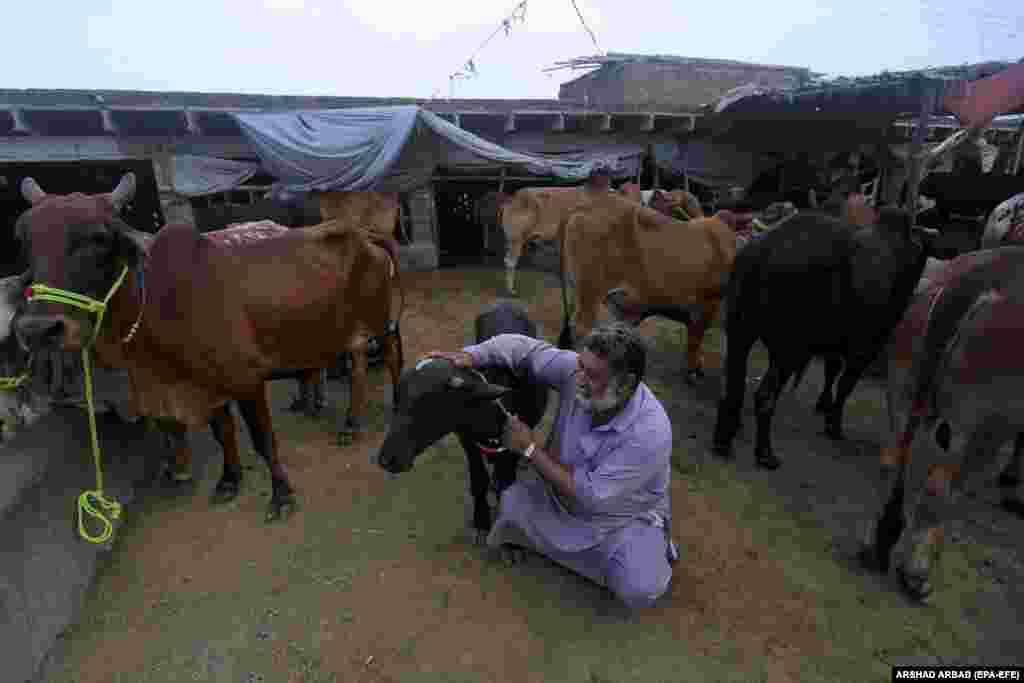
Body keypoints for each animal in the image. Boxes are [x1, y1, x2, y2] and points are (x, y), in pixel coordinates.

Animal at [12, 175, 403, 524]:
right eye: (23, 239)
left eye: (98, 238)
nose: (38, 330)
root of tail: (364, 234)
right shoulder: (204, 385)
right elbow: (222, 434)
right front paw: (229, 480)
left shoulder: (245, 379)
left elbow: (263, 440)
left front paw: (281, 495)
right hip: (347, 330)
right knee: (357, 364)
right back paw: (350, 423)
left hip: (379, 320)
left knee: (392, 355)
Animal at [376, 301, 552, 540]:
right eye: (399, 400)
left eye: (431, 405)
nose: (387, 460)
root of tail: (505, 303)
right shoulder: (467, 440)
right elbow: (479, 480)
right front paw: (481, 520)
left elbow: (505, 480)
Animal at [557, 192, 733, 385]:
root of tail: (584, 206)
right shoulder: (708, 304)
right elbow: (696, 339)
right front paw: (693, 370)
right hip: (590, 292)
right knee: (582, 329)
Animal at [712, 208, 937, 471]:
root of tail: (762, 251)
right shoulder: (866, 347)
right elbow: (846, 384)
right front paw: (833, 423)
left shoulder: (834, 342)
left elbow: (832, 370)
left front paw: (824, 403)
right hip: (788, 349)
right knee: (765, 396)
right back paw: (765, 453)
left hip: (740, 332)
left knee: (733, 384)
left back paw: (724, 439)